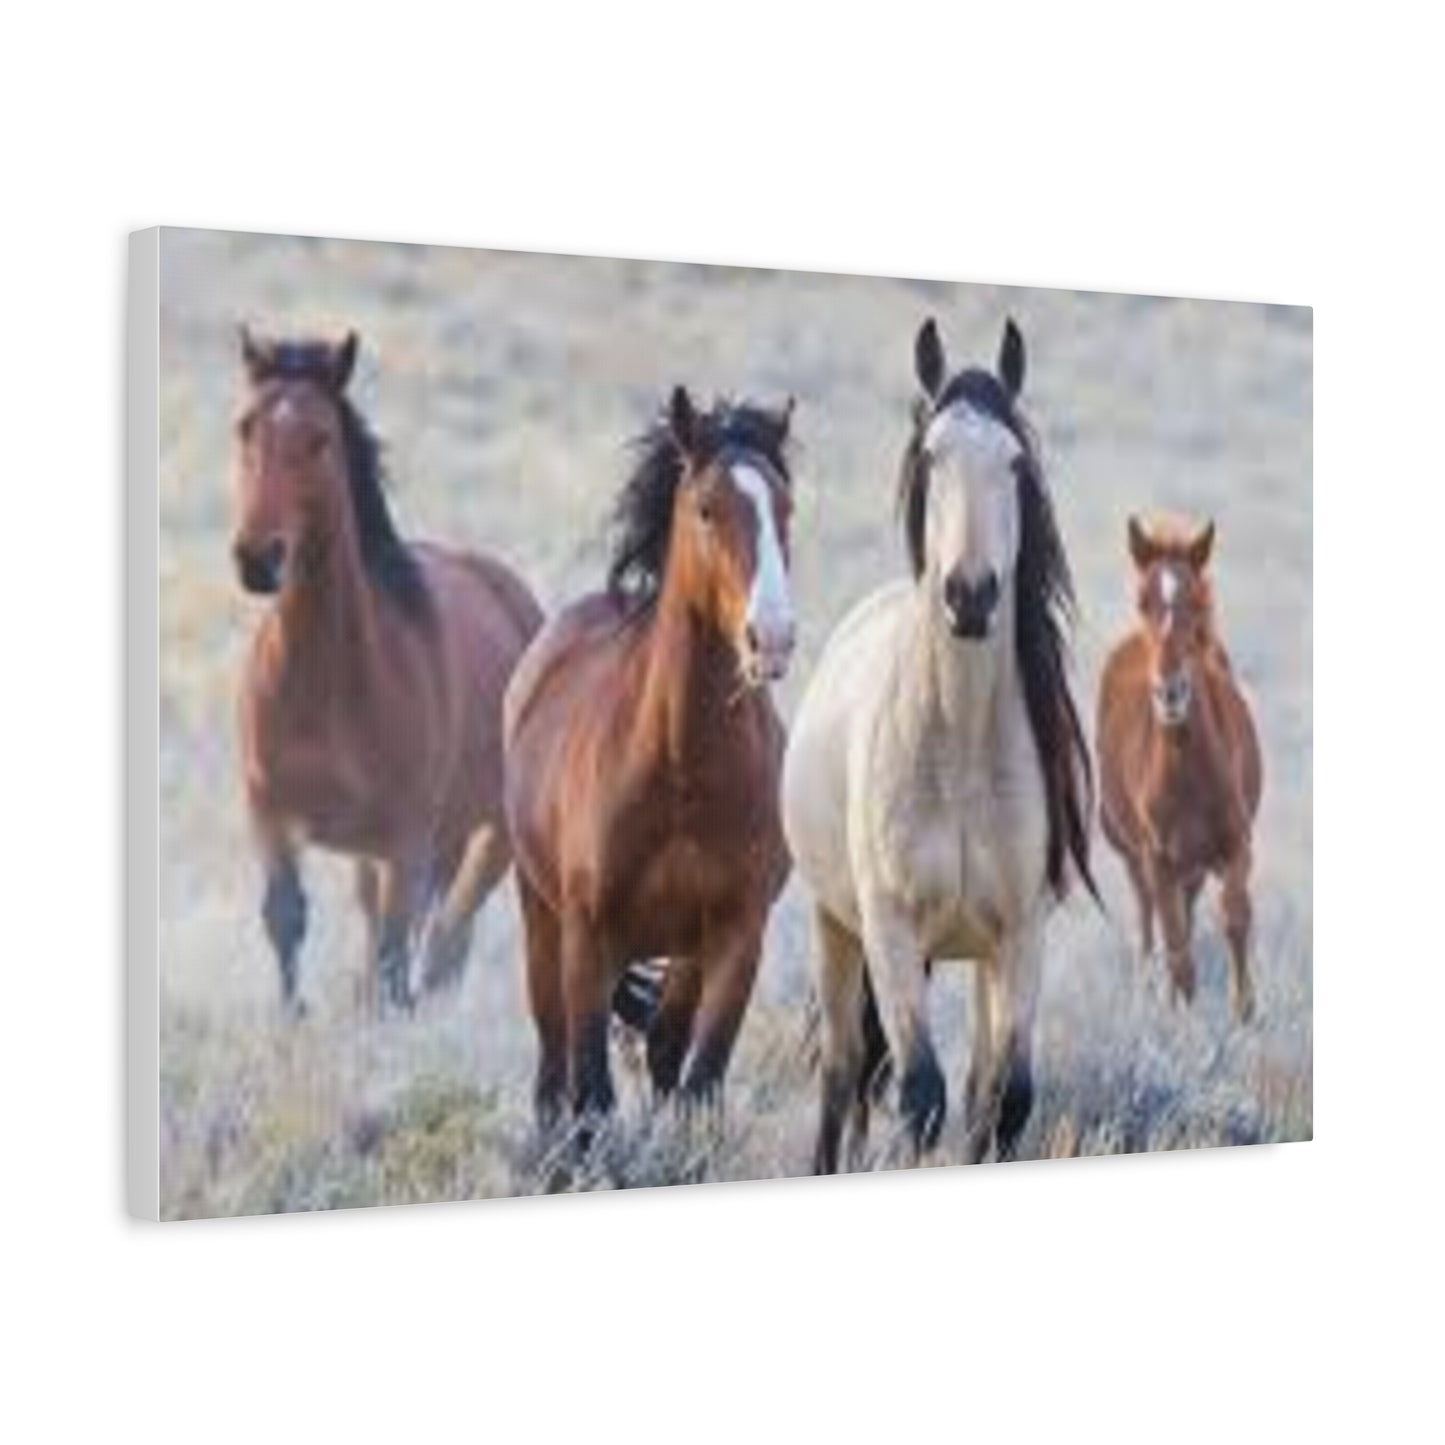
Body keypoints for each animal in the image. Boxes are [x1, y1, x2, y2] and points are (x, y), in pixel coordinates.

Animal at [230, 328, 542, 1014]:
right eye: (245, 428)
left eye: (320, 437)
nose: (258, 559)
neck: (323, 684)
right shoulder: (270, 815)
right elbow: (286, 918)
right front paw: (293, 1019)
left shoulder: (406, 840)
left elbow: (402, 952)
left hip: (486, 837)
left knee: (446, 941)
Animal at [503, 386, 796, 1128]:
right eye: (706, 508)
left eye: (786, 507)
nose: (773, 636)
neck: (680, 769)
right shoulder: (587, 934)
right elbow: (590, 1093)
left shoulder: (735, 934)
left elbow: (698, 1079)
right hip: (542, 920)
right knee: (553, 1069)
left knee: (664, 1048)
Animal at [782, 317, 1095, 1174]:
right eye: (930, 455)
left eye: (1014, 462)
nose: (969, 594)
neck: (957, 753)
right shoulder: (889, 930)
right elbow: (919, 1094)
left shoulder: (1019, 935)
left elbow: (1004, 1100)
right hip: (836, 927)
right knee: (843, 1073)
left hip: (980, 959)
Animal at [1096, 516, 1263, 1023]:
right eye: (1143, 601)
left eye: (1196, 602)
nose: (1170, 692)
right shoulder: (1158, 857)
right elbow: (1175, 947)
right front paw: (1183, 1022)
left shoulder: (1235, 842)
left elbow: (1235, 916)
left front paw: (1245, 1012)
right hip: (1136, 857)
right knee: (1151, 925)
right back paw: (1151, 995)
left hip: (1193, 864)